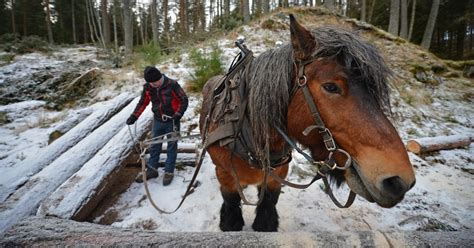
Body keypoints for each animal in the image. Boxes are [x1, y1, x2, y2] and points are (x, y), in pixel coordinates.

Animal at [199, 14, 414, 232]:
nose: (399, 181)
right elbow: (231, 205)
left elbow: (267, 207)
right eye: (331, 87)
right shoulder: (225, 176)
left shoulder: (278, 176)